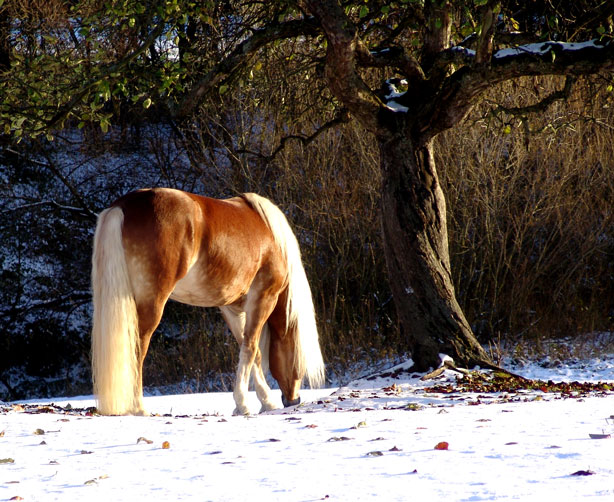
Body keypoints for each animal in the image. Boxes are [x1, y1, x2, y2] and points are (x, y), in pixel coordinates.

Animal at [90, 188, 328, 416]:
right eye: (300, 360)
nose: (293, 401)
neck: (273, 243)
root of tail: (123, 206)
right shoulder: (263, 298)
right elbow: (251, 348)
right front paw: (245, 403)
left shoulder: (231, 308)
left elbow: (252, 351)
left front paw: (263, 402)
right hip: (151, 304)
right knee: (137, 349)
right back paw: (138, 407)